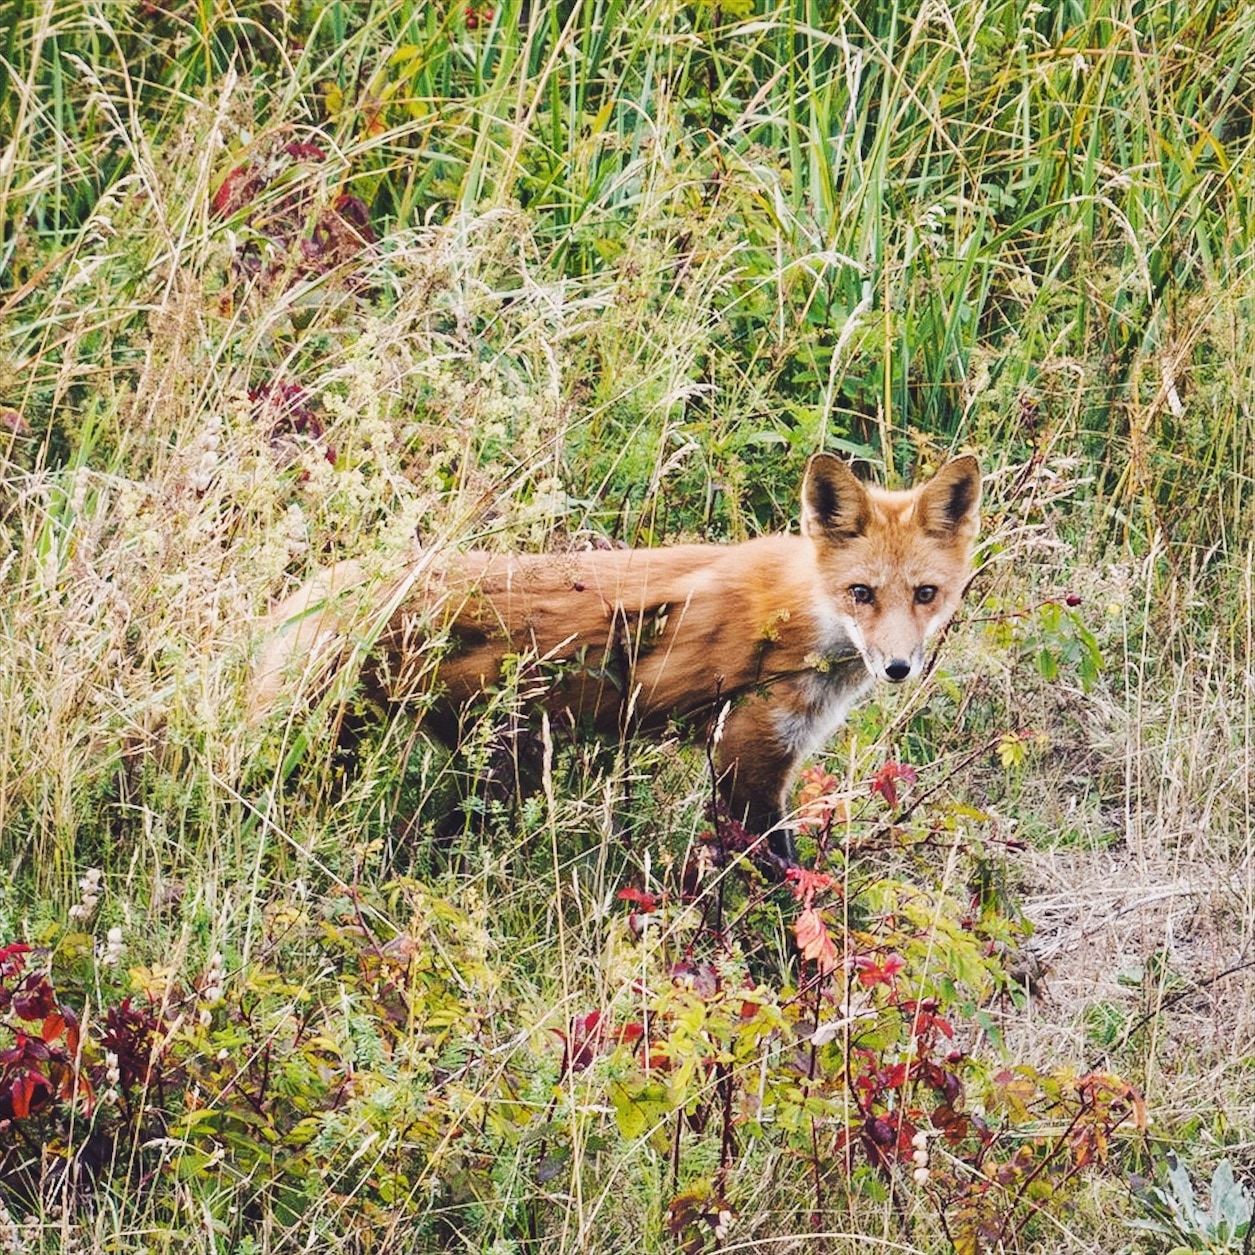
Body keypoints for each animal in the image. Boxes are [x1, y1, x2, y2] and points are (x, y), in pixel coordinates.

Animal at [252, 456, 978, 868]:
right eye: (861, 593)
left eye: (925, 594)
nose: (897, 668)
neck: (805, 613)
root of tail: (328, 584)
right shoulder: (745, 765)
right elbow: (785, 883)